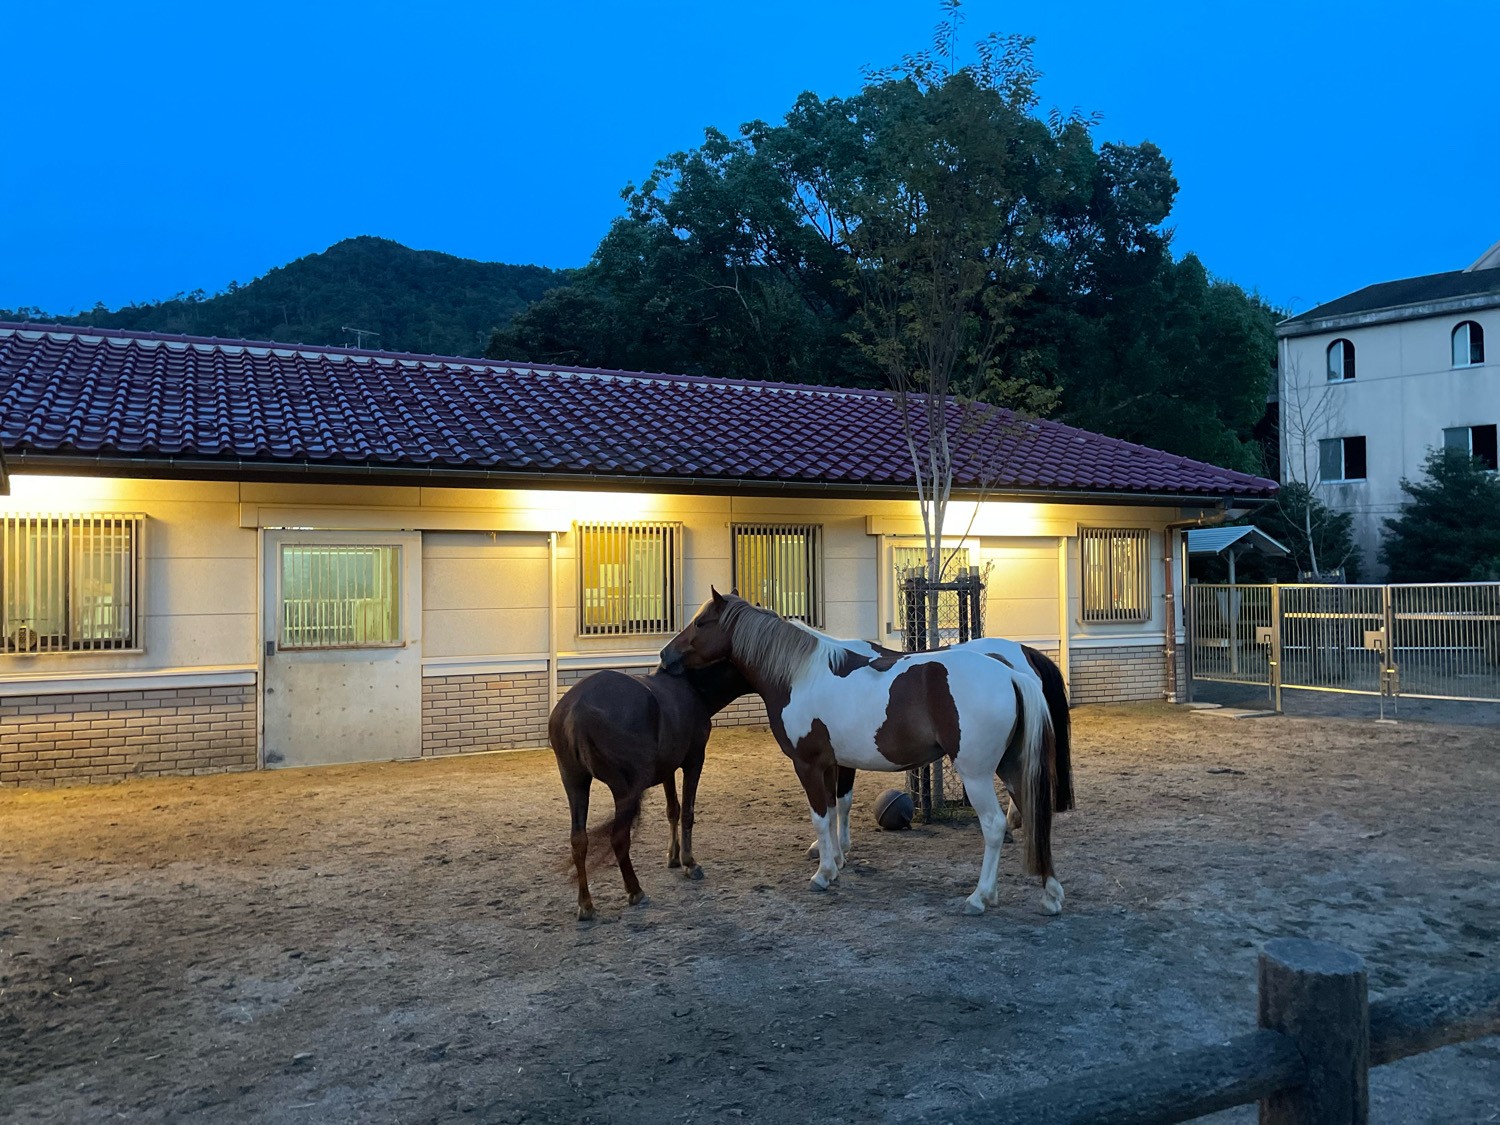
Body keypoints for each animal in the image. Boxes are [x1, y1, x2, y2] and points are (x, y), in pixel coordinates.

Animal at [549, 666, 750, 918]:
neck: (689, 686)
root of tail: (577, 708)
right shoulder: (694, 760)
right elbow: (687, 812)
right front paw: (689, 862)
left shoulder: (667, 768)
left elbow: (673, 809)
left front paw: (673, 857)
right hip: (623, 789)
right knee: (618, 837)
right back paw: (635, 890)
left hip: (575, 783)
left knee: (578, 841)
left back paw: (585, 904)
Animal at [663, 591, 1074, 918]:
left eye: (700, 622)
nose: (665, 655)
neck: (802, 676)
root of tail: (1011, 673)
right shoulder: (831, 763)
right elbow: (834, 810)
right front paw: (835, 860)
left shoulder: (807, 764)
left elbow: (820, 816)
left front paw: (824, 874)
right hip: (1011, 767)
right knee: (1034, 815)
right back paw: (1050, 895)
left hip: (976, 775)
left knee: (994, 826)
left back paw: (980, 897)